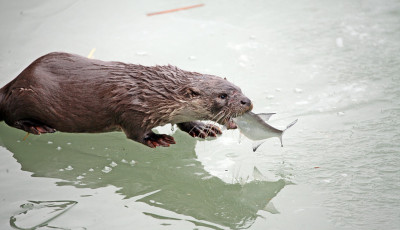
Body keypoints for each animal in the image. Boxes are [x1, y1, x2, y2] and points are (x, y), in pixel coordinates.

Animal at [0, 52, 253, 147]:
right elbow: (136, 133)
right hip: (22, 96)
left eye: (239, 89)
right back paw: (37, 127)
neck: (154, 94)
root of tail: (14, 81)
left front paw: (201, 128)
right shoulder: (133, 111)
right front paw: (158, 138)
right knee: (10, 117)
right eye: (222, 96)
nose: (247, 102)